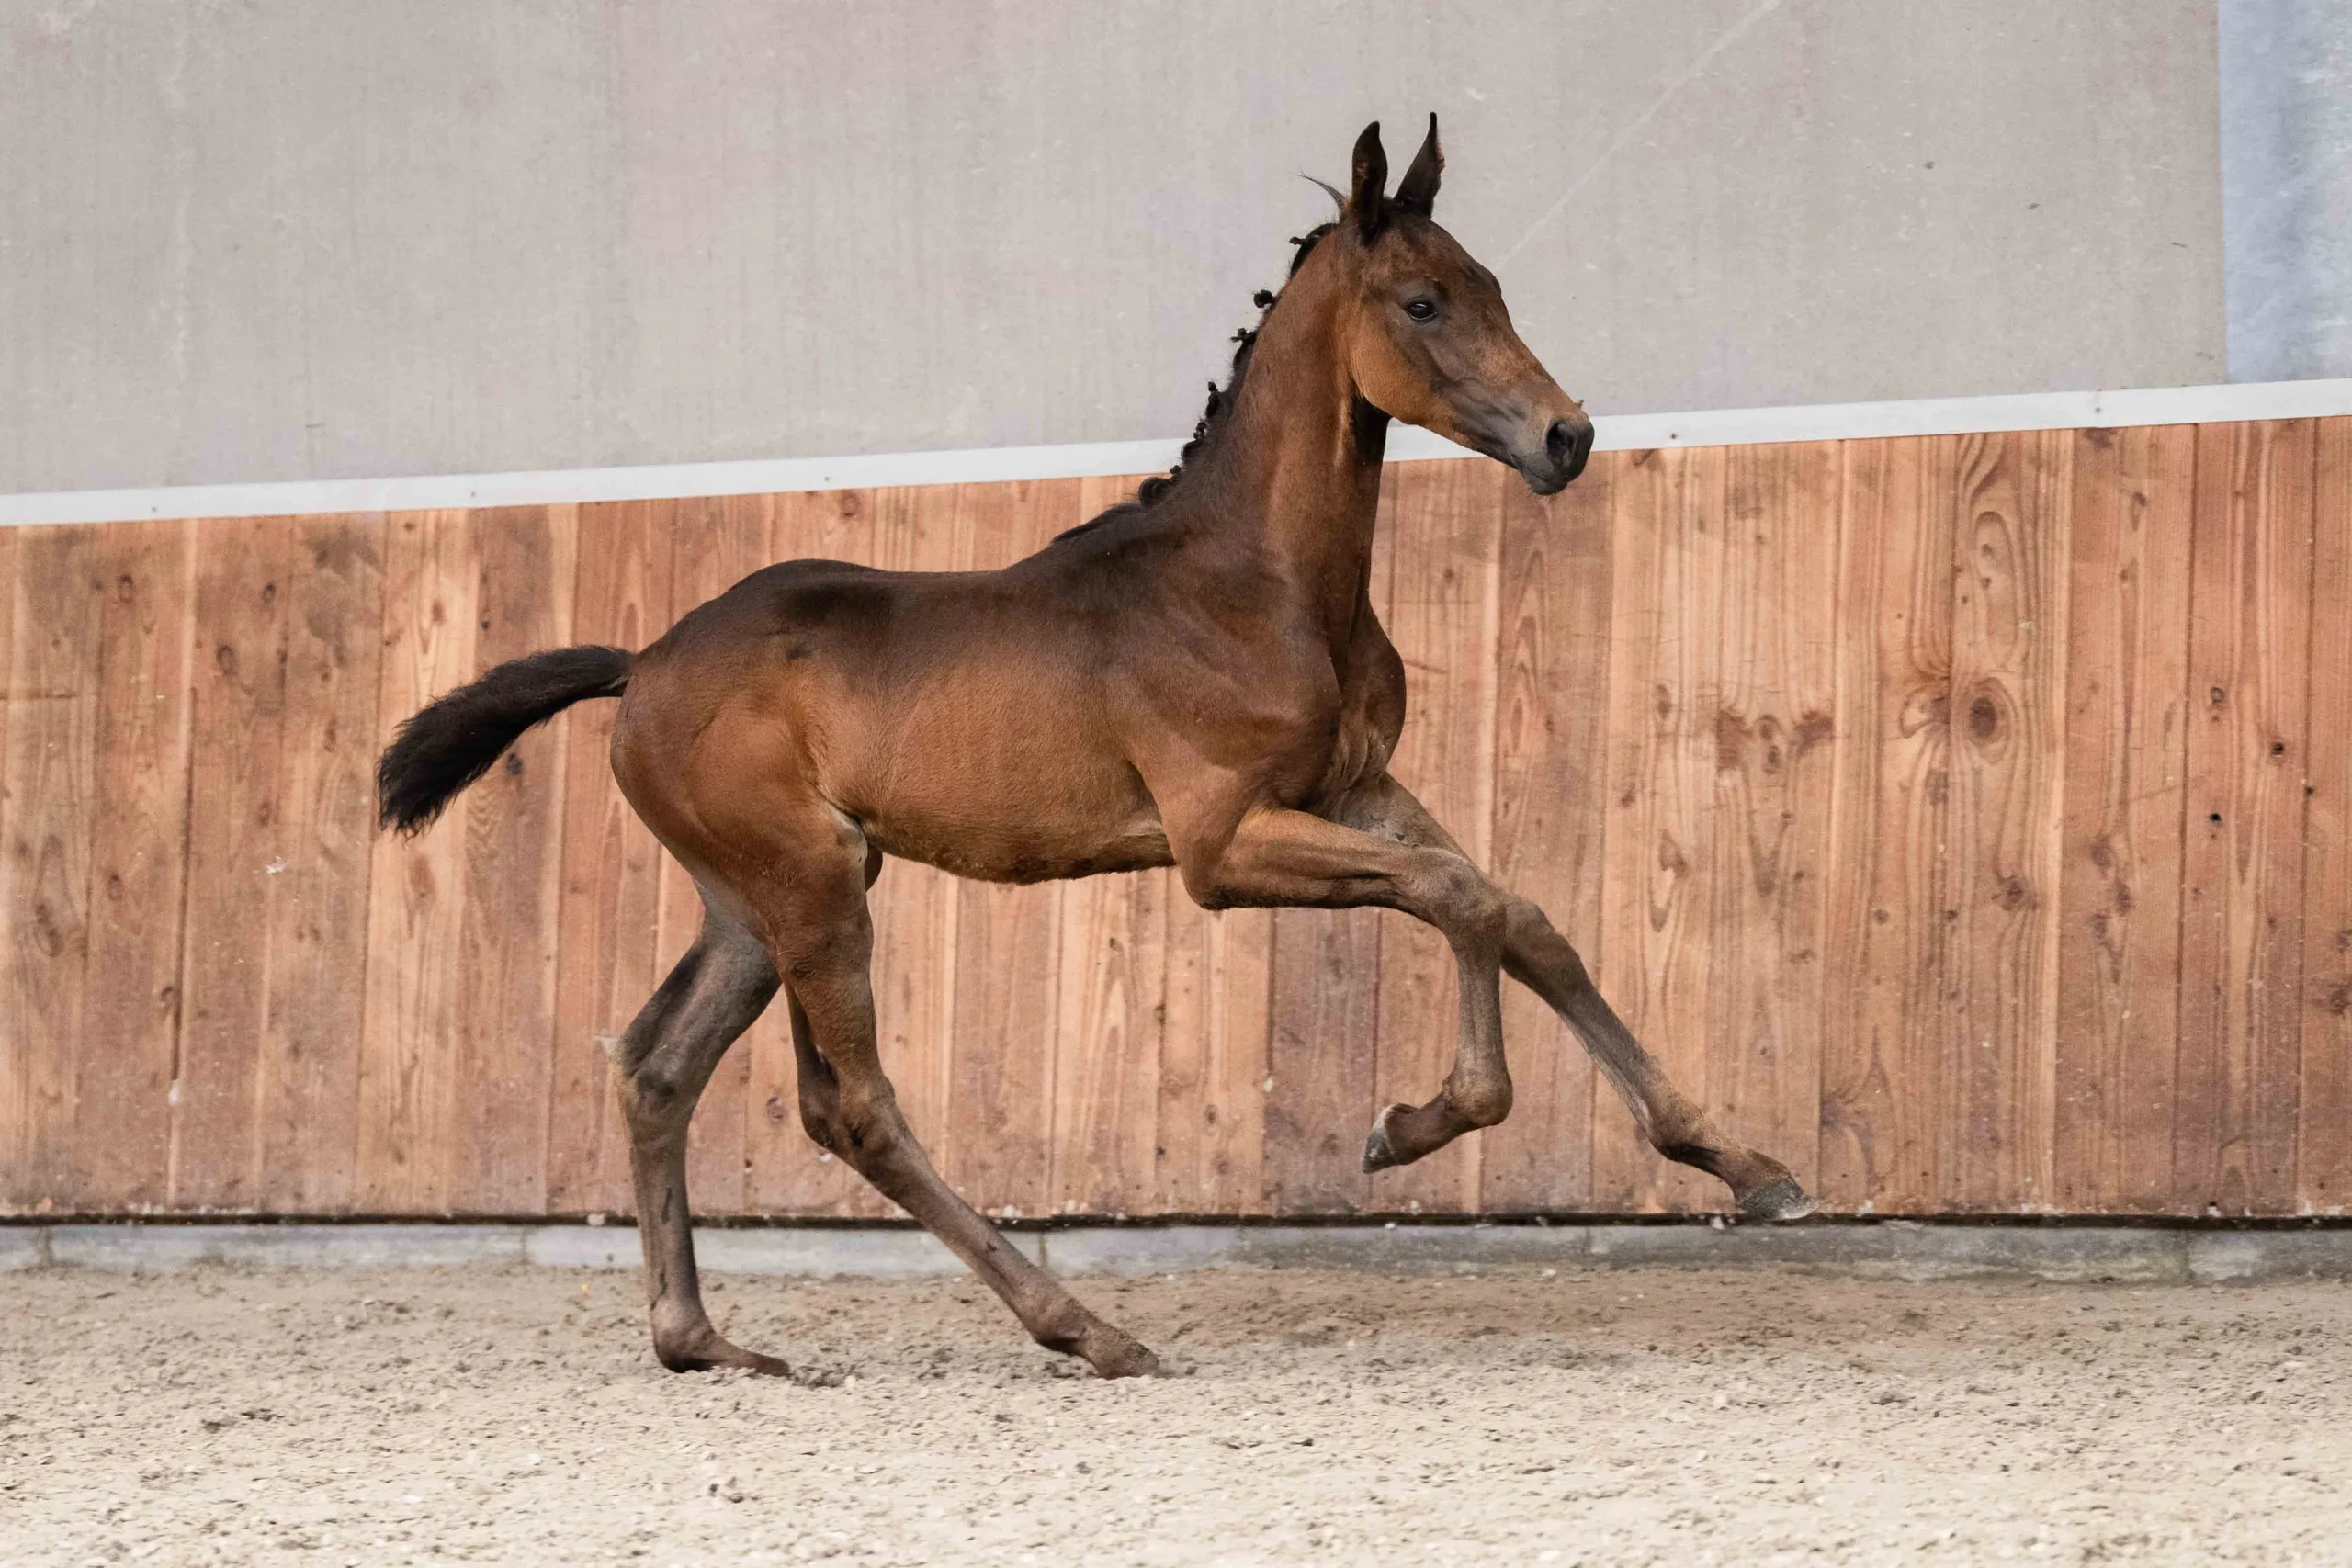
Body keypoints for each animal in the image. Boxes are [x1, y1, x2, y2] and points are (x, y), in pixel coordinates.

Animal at [376, 118, 1813, 1381]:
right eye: (1421, 302)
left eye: (1493, 288)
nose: (1567, 437)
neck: (1253, 581)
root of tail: (644, 663)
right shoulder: (1221, 844)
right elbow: (1459, 897)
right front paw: (1415, 1126)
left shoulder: (1355, 787)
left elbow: (1522, 915)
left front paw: (1748, 1167)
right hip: (813, 889)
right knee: (855, 1106)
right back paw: (1089, 1330)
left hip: (752, 902)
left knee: (658, 1067)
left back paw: (703, 1341)